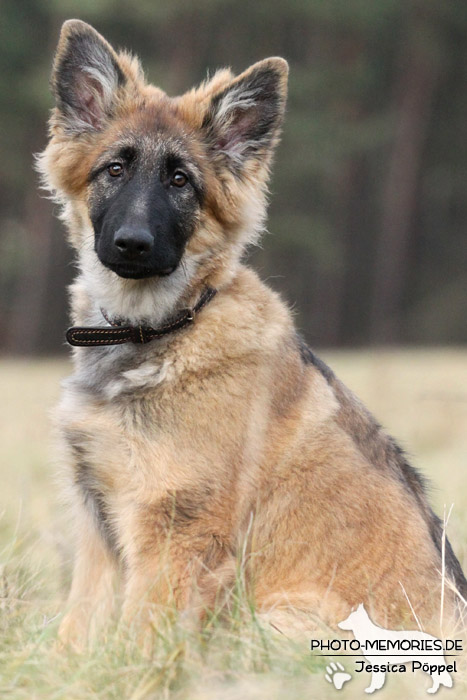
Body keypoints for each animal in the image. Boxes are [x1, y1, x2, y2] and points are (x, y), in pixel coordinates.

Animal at [38, 19, 467, 648]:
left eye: (181, 181)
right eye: (114, 170)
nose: (133, 245)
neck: (161, 329)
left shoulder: (175, 533)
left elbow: (143, 633)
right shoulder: (99, 523)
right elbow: (78, 628)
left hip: (281, 622)